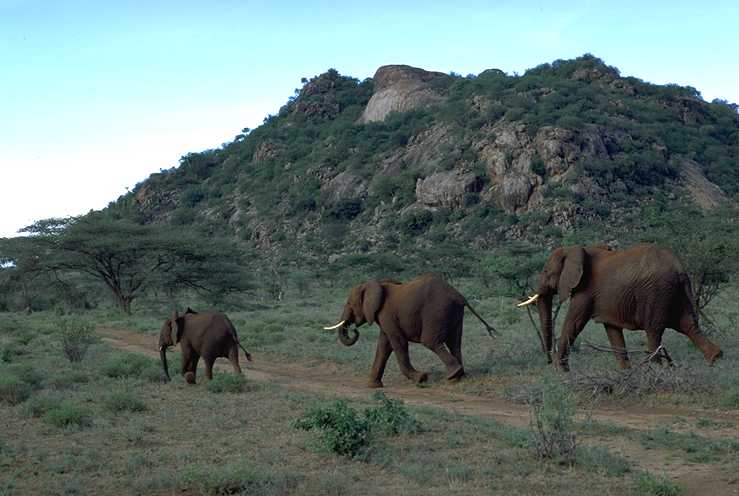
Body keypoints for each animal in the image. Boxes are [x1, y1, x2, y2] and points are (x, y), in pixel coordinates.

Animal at [323, 274, 497, 388]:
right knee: (454, 342)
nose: (354, 330)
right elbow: (384, 346)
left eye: (349, 303)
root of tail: (459, 295)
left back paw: (452, 375)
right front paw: (374, 386)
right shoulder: (385, 318)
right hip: (454, 313)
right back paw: (456, 378)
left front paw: (421, 378)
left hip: (436, 312)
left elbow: (398, 343)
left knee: (431, 341)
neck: (376, 284)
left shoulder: (387, 315)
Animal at [517, 243, 722, 370]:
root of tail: (680, 269)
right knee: (689, 325)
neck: (577, 248)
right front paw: (625, 371)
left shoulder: (585, 290)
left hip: (657, 292)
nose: (547, 360)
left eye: (545, 271)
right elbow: (612, 330)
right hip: (676, 292)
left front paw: (561, 371)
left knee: (654, 331)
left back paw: (655, 368)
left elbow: (573, 323)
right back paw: (716, 359)